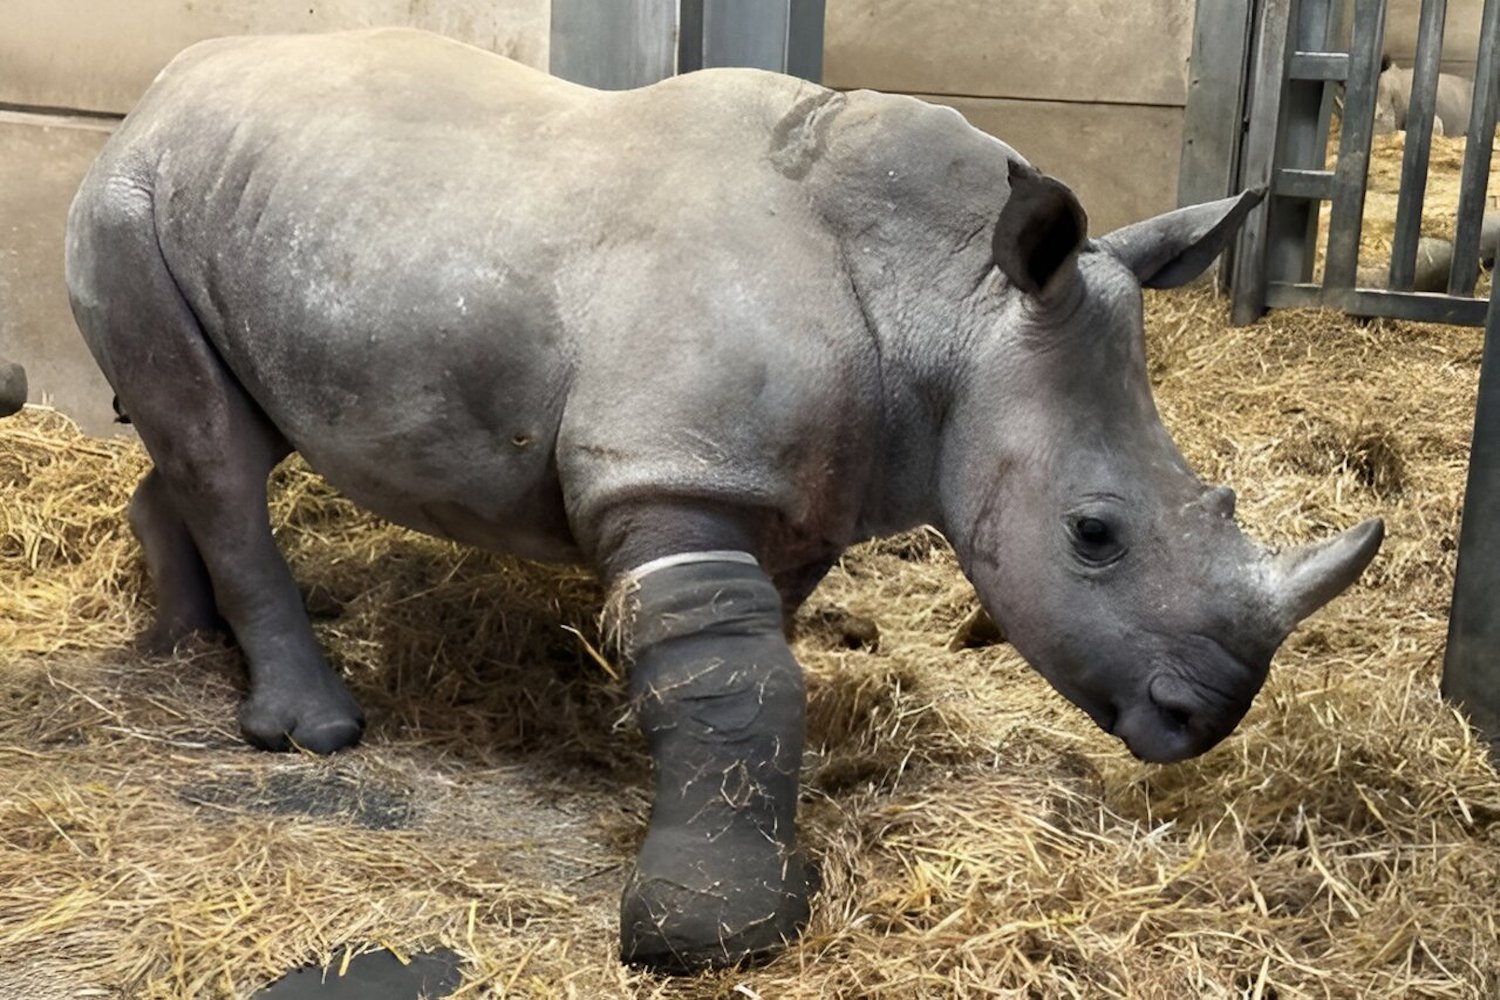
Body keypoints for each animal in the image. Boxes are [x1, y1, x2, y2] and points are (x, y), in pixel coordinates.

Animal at [67, 29, 1380, 977]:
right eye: (1093, 536)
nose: (1203, 718)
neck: (949, 298)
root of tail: (156, 94)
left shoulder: (792, 494)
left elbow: (752, 665)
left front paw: (635, 742)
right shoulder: (672, 471)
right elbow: (741, 675)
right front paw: (710, 926)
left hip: (252, 210)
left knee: (222, 435)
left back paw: (178, 642)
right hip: (129, 204)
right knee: (221, 449)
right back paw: (311, 730)